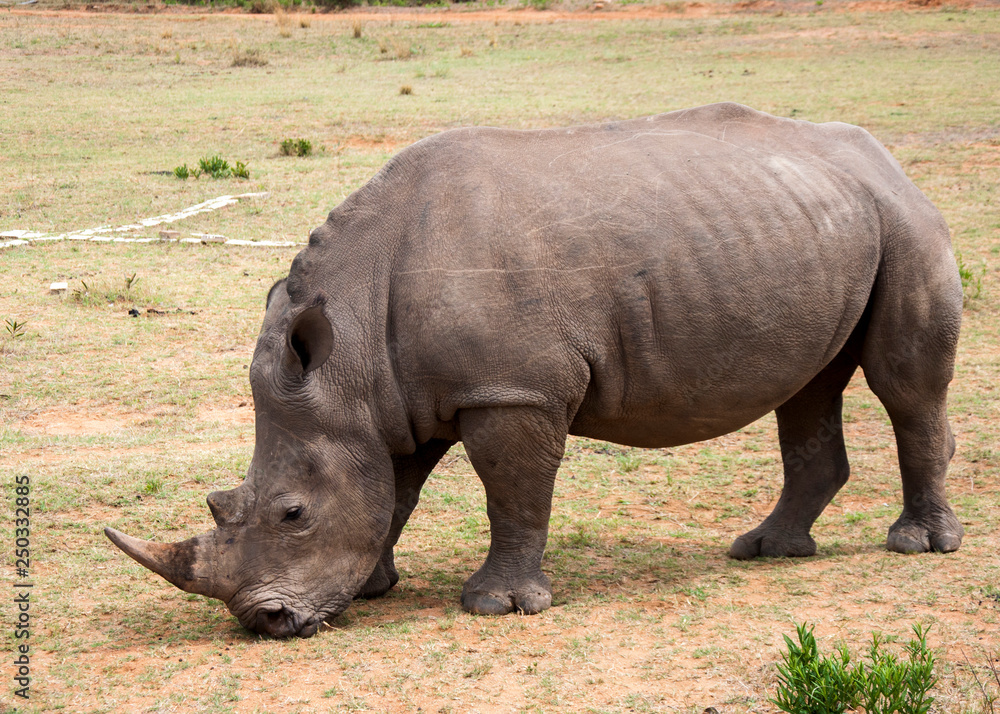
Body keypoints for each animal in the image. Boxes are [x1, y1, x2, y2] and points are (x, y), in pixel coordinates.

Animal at [106, 103, 964, 638]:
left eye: (291, 514)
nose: (265, 623)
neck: (350, 351)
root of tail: (884, 156)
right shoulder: (392, 405)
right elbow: (396, 492)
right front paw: (375, 585)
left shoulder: (512, 390)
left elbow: (512, 492)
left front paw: (498, 607)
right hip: (817, 223)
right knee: (809, 386)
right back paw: (766, 550)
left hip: (905, 219)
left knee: (902, 385)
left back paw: (918, 547)